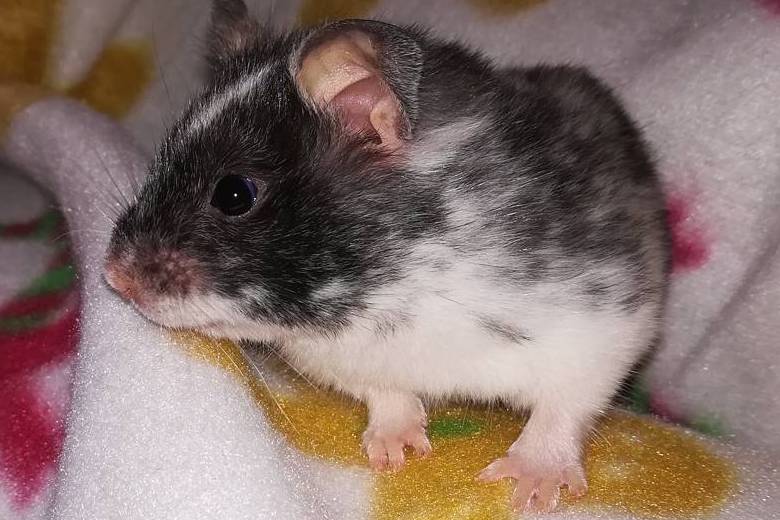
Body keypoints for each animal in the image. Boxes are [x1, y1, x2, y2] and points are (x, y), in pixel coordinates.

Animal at [105, 0, 672, 512]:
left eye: (235, 193)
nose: (113, 276)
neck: (397, 283)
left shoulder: (606, 322)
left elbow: (564, 405)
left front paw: (528, 489)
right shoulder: (341, 359)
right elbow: (384, 392)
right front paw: (396, 455)